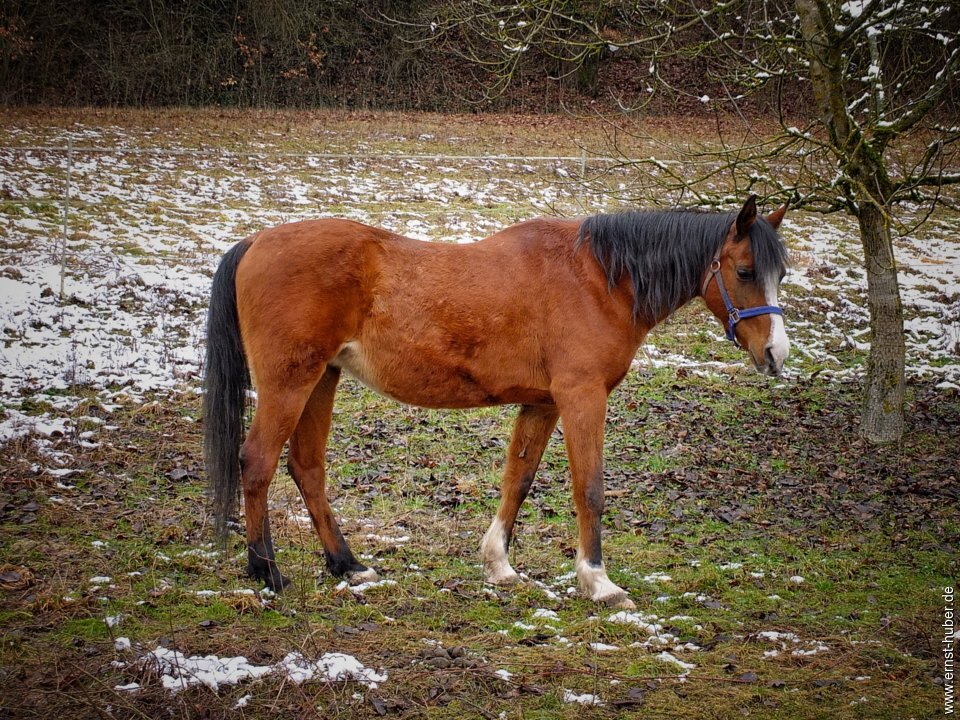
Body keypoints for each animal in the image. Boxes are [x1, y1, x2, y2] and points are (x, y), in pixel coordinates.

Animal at [202, 195, 788, 608]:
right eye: (743, 271)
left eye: (779, 273)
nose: (776, 354)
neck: (599, 278)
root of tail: (256, 241)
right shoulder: (582, 396)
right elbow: (590, 488)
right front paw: (597, 581)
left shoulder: (544, 403)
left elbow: (518, 479)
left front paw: (498, 565)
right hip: (290, 383)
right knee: (257, 462)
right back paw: (267, 571)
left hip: (322, 379)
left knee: (307, 468)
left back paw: (346, 565)